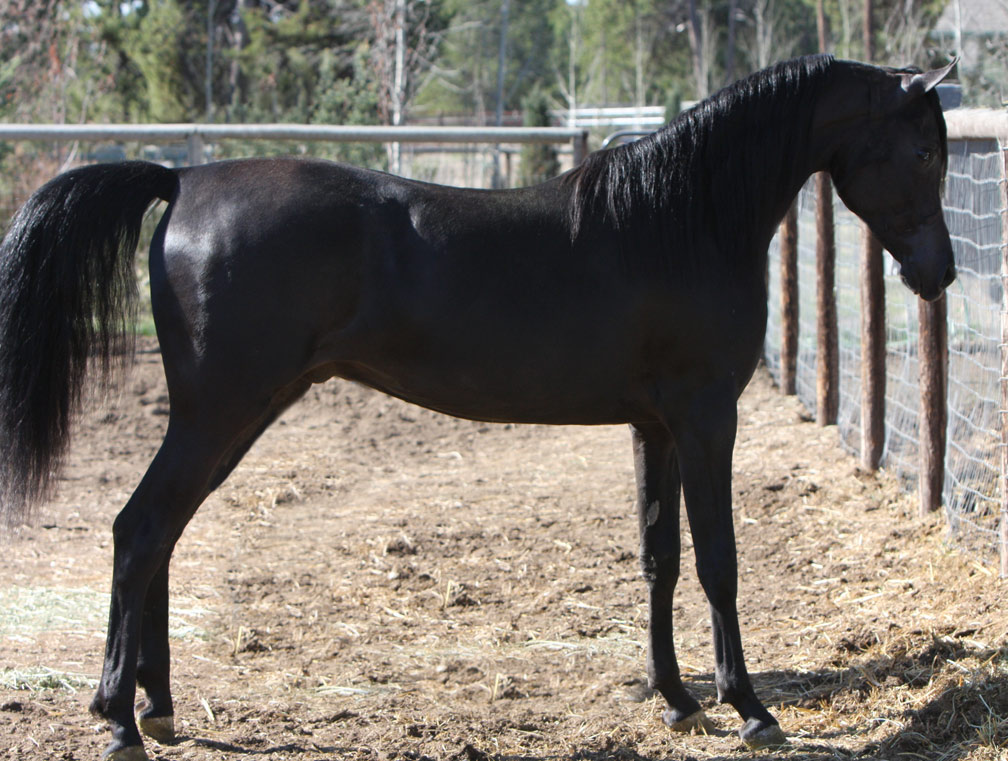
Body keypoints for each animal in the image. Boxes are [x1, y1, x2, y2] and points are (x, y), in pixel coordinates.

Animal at [0, 55, 955, 760]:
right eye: (922, 154)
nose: (939, 274)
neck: (680, 220)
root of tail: (184, 176)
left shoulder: (654, 426)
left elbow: (660, 557)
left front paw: (678, 699)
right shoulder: (705, 417)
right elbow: (719, 560)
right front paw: (750, 706)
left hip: (235, 413)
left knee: (162, 535)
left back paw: (158, 706)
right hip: (219, 412)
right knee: (139, 529)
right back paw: (118, 719)